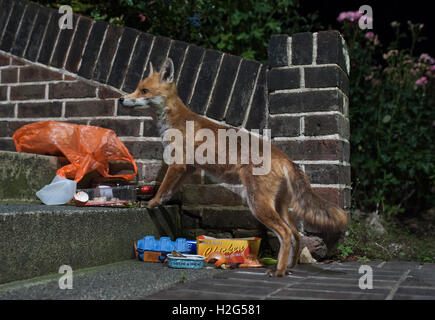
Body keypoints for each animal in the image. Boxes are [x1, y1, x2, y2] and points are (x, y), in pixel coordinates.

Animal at [119, 58, 350, 276]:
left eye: (144, 91)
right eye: (137, 87)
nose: (121, 99)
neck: (174, 120)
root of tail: (284, 157)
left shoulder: (177, 163)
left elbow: (163, 187)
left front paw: (151, 202)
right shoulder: (188, 168)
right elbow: (170, 190)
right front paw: (162, 202)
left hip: (258, 204)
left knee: (285, 234)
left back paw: (278, 271)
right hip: (279, 206)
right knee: (295, 234)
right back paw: (289, 267)